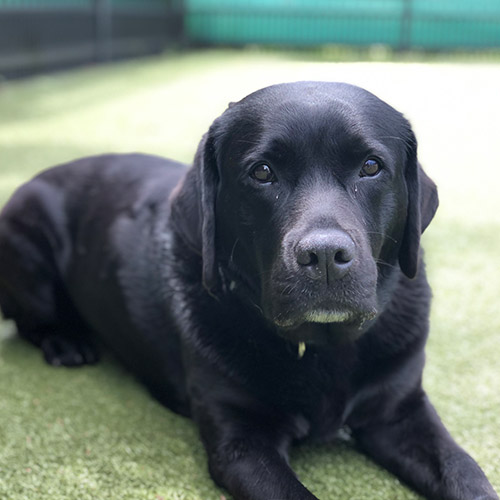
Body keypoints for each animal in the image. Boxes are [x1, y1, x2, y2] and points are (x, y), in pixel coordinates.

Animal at [0, 83, 496, 500]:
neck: (322, 348)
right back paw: (68, 342)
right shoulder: (242, 443)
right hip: (28, 249)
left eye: (371, 167)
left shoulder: (401, 413)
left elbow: (465, 472)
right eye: (262, 172)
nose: (324, 255)